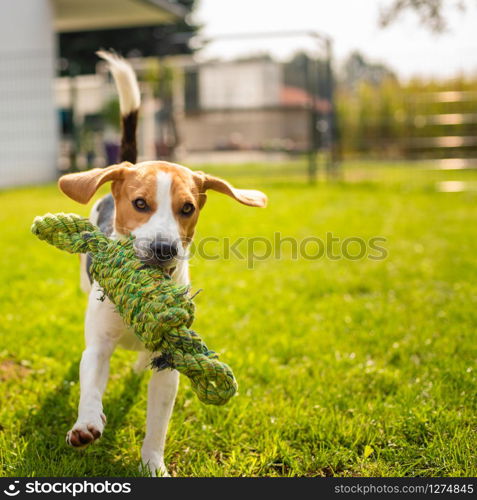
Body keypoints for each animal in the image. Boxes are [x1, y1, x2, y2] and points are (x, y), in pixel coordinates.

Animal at [57, 51, 266, 476]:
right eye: (140, 203)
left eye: (187, 208)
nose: (165, 248)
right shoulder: (98, 348)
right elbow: (91, 384)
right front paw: (86, 423)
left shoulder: (170, 364)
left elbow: (158, 422)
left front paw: (152, 463)